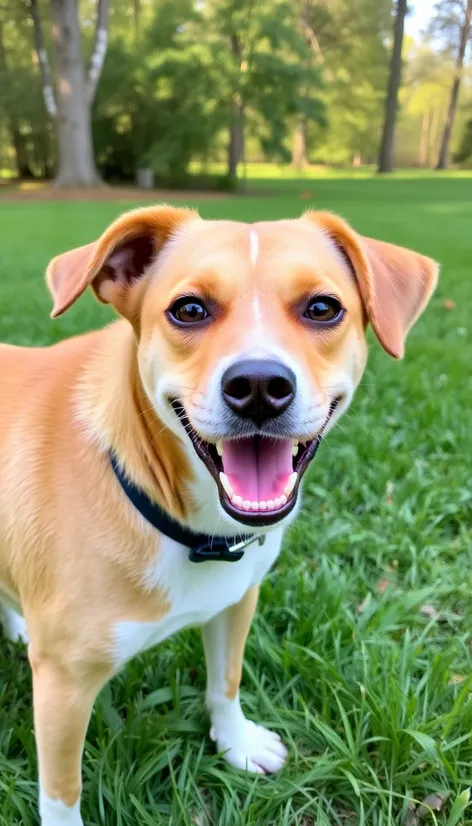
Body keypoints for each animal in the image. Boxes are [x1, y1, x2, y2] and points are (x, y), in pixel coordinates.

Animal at [0, 204, 438, 816]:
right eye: (189, 309)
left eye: (322, 308)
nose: (258, 384)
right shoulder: (63, 684)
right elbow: (63, 792)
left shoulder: (235, 599)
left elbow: (225, 683)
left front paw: (236, 744)